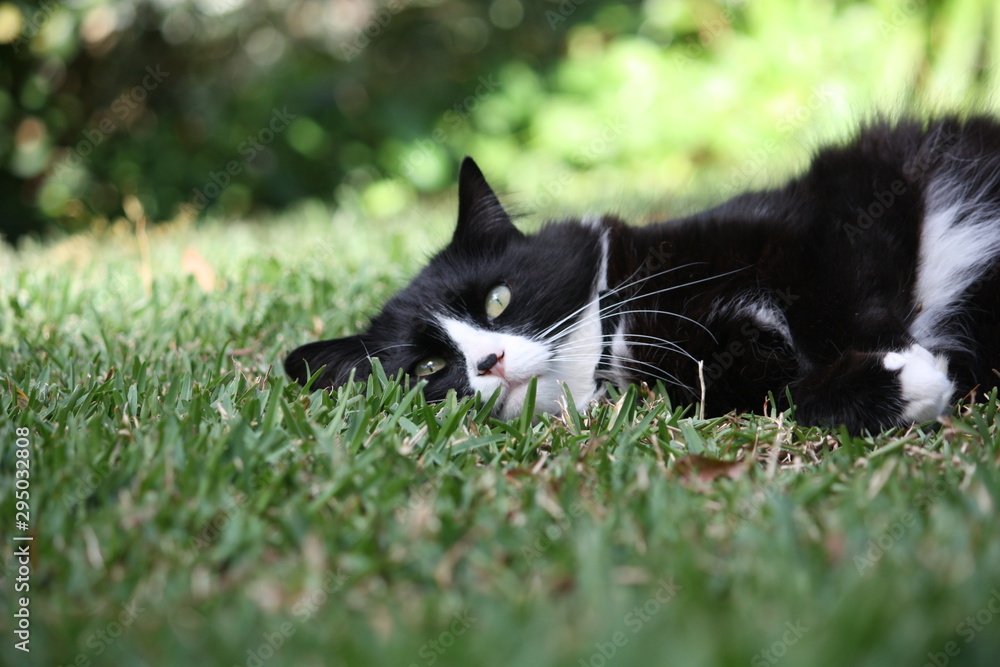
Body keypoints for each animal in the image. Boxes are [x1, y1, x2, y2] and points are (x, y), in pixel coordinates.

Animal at [286, 117, 1000, 430]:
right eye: (428, 370)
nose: (489, 361)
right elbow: (779, 390)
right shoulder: (708, 376)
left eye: (497, 300)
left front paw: (903, 364)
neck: (622, 329)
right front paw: (894, 388)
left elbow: (841, 300)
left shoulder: (833, 208)